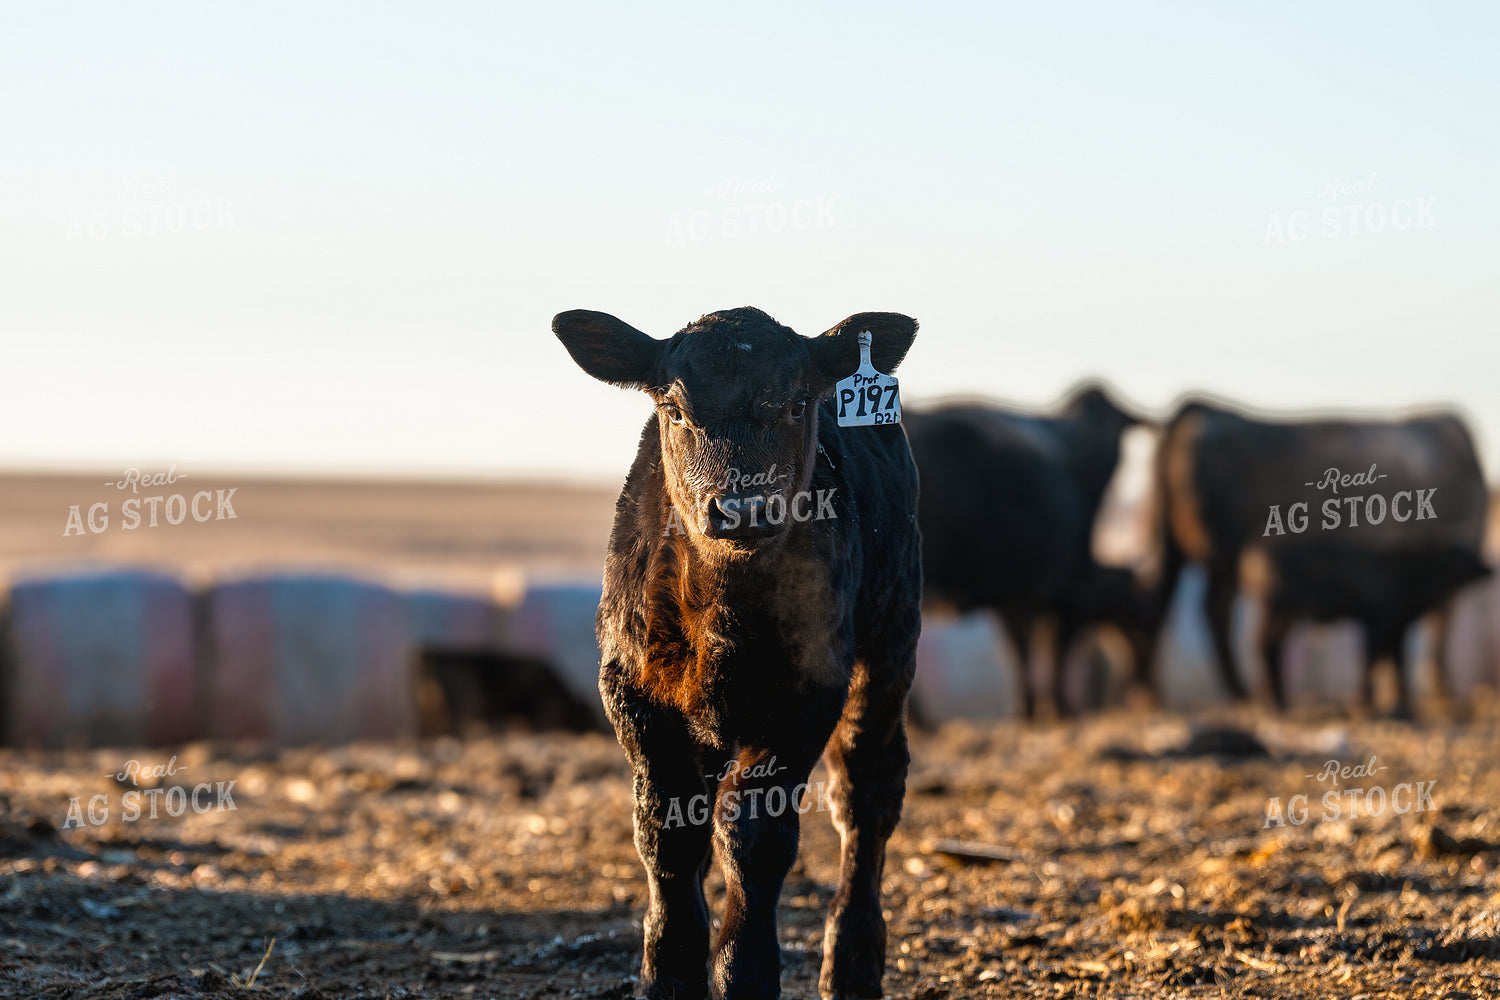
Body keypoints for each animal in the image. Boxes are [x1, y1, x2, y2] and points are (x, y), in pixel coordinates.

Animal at [554, 306, 921, 1000]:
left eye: (799, 401)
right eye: (673, 408)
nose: (743, 507)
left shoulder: (807, 693)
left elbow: (754, 835)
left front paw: (741, 972)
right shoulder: (632, 692)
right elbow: (667, 830)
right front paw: (668, 972)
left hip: (890, 642)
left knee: (867, 792)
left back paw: (853, 963)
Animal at [905, 385, 1152, 715]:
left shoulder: (1017, 597)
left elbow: (1021, 649)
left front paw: (1030, 708)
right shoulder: (1063, 597)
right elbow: (1053, 650)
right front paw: (1055, 707)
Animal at [1241, 542, 1491, 715]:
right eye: (1461, 554)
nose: (1489, 567)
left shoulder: (1397, 626)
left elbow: (1396, 660)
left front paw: (1403, 703)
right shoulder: (1378, 621)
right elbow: (1372, 656)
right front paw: (1365, 701)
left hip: (1288, 613)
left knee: (1271, 645)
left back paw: (1277, 700)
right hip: (1275, 607)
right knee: (1262, 643)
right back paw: (1272, 701)